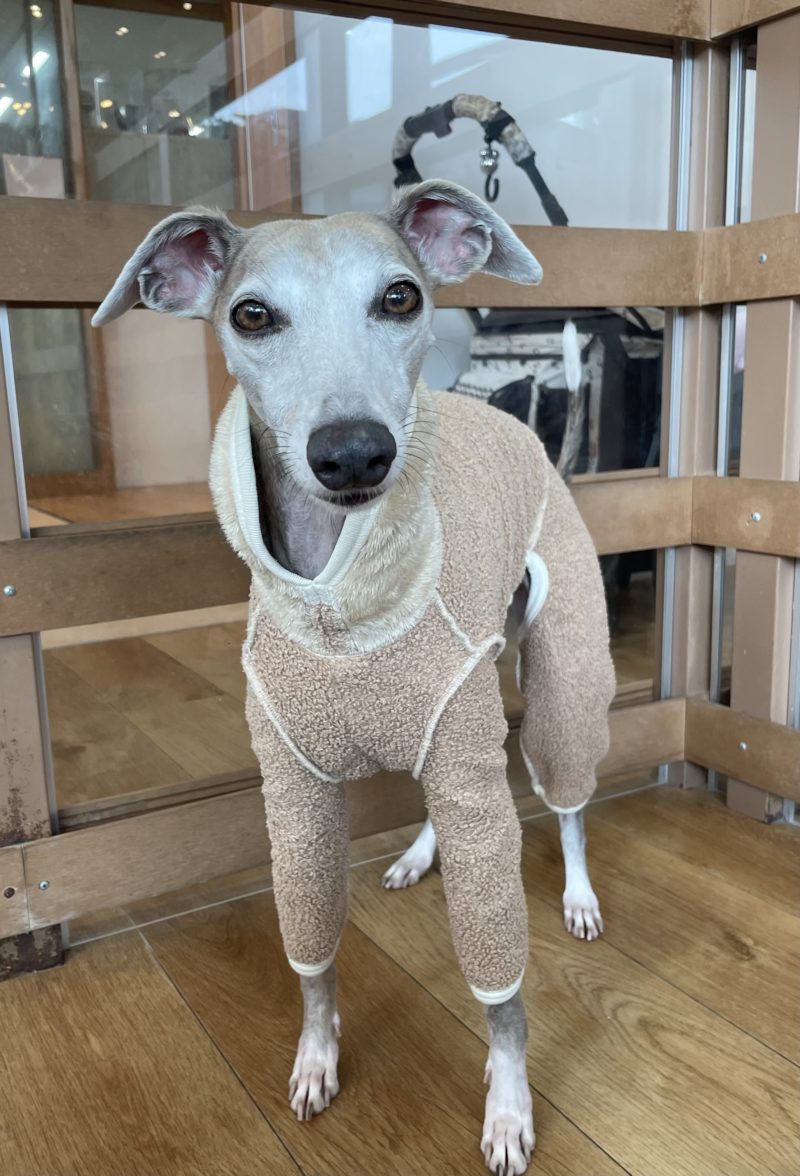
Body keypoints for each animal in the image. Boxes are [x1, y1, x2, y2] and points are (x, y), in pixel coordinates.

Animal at [94, 179, 615, 1176]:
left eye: (400, 297)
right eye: (251, 314)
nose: (352, 454)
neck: (341, 609)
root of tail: (517, 419)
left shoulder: (468, 764)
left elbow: (501, 987)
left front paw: (509, 1104)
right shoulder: (295, 791)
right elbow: (310, 949)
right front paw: (316, 1054)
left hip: (559, 671)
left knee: (565, 796)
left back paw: (576, 893)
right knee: (450, 797)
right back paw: (417, 854)